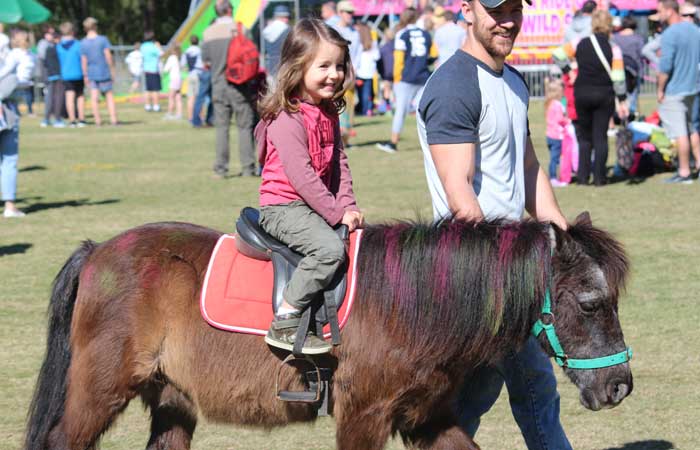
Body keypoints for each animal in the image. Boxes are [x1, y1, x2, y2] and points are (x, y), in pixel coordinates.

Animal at [26, 213, 636, 448]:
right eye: (591, 303)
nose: (620, 386)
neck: (407, 304)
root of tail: (97, 252)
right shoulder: (363, 415)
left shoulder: (427, 417)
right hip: (100, 391)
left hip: (171, 398)